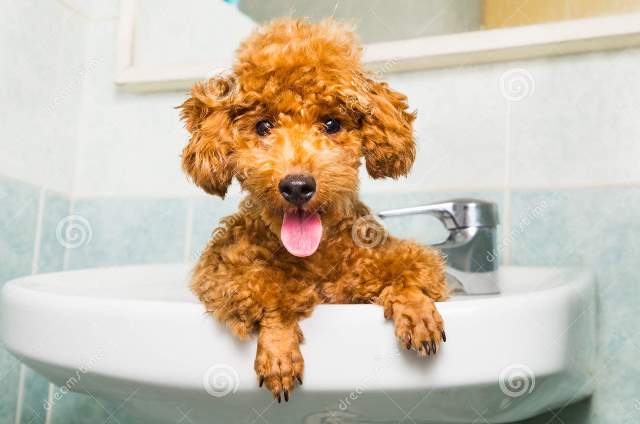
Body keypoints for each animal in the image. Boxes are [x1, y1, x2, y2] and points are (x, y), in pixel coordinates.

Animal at [179, 18, 448, 402]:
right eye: (263, 126)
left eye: (332, 124)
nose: (296, 186)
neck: (314, 260)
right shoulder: (220, 273)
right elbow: (266, 289)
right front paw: (279, 350)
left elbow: (407, 270)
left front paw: (416, 309)